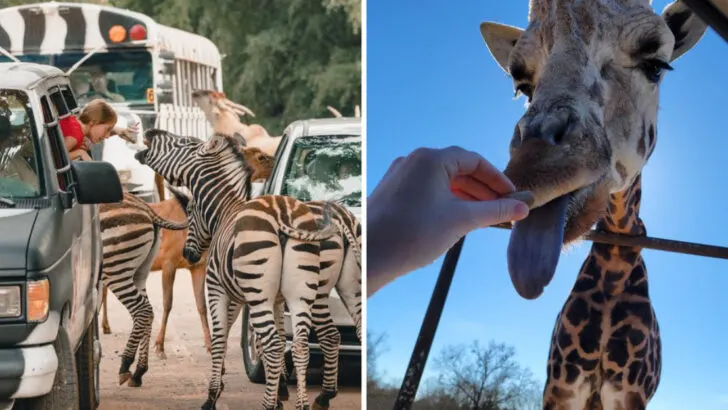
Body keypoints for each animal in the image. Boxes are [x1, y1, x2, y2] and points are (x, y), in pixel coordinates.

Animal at [479, 1, 707, 408]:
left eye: (656, 65)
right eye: (522, 85)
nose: (535, 169)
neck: (614, 268)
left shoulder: (629, 389)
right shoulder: (562, 383)